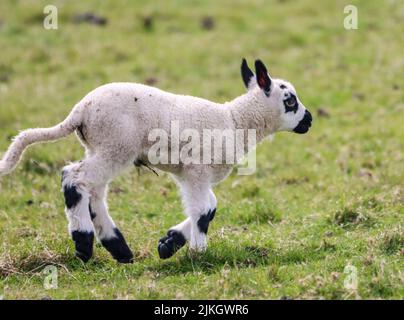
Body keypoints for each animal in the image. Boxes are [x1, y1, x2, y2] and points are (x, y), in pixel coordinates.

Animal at [0, 59, 312, 262]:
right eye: (290, 100)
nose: (309, 120)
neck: (235, 121)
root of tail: (80, 110)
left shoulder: (187, 174)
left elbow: (209, 208)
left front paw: (170, 242)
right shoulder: (197, 171)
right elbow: (204, 209)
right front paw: (197, 253)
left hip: (102, 147)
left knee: (94, 191)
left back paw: (118, 248)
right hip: (116, 145)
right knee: (73, 177)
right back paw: (84, 244)